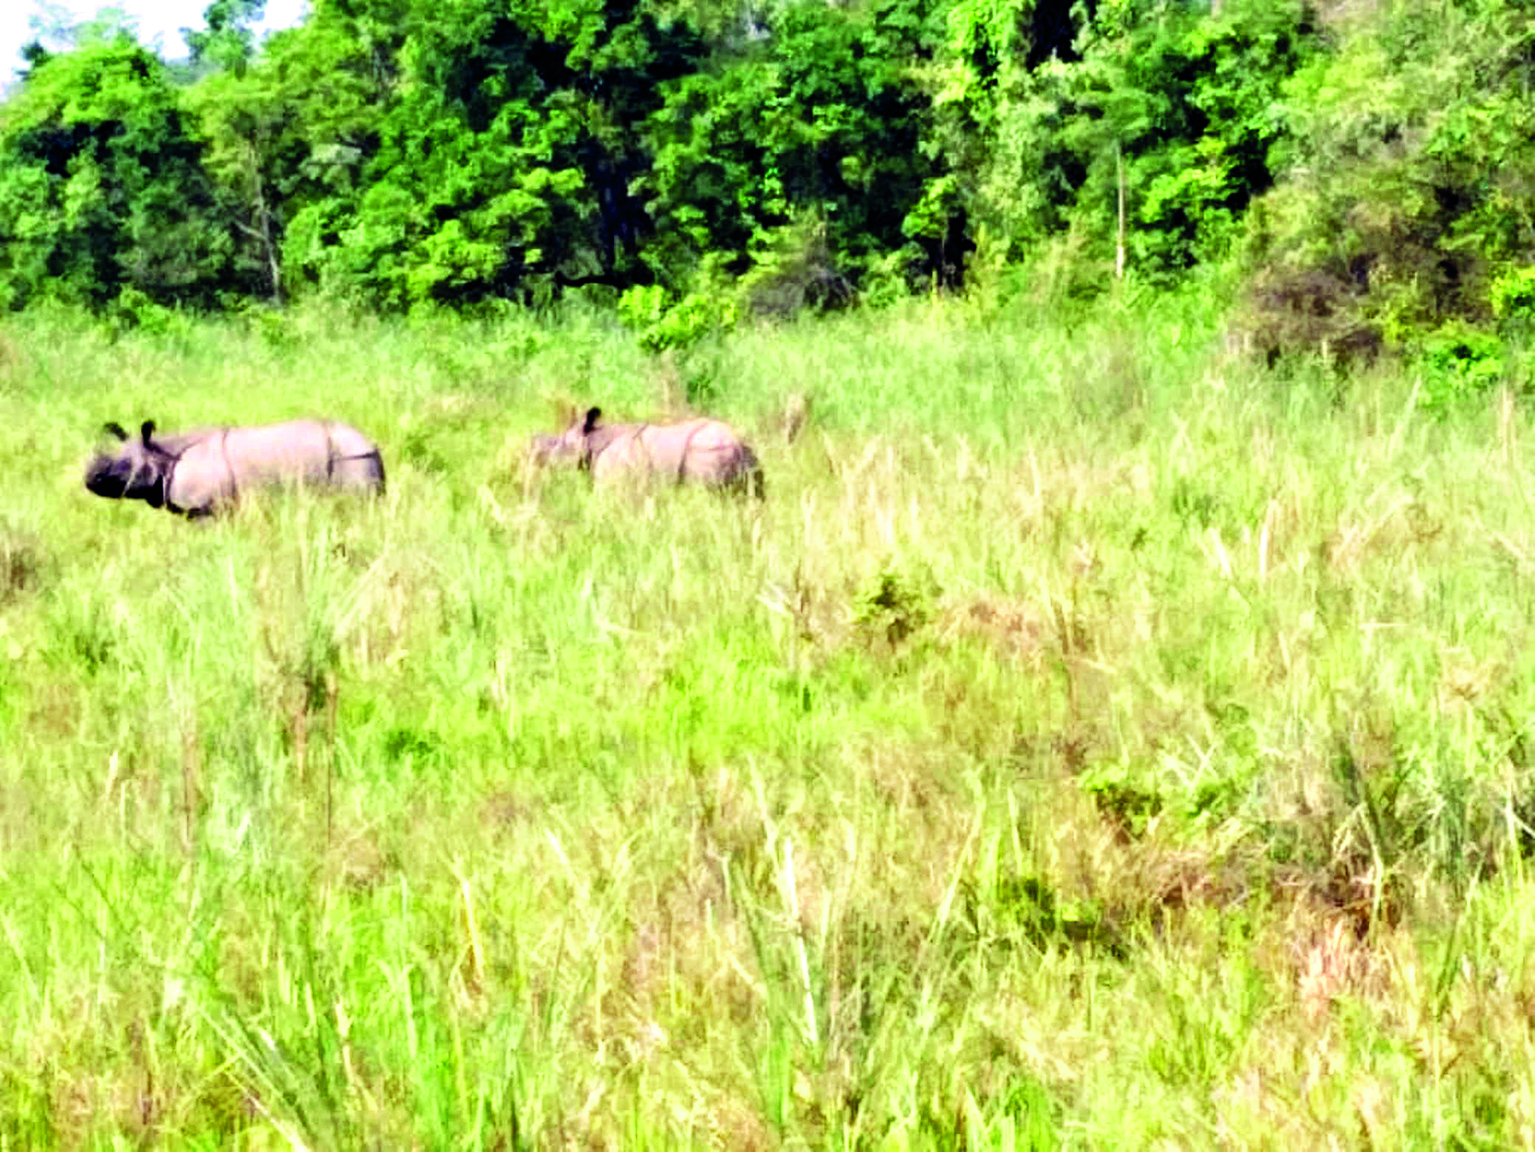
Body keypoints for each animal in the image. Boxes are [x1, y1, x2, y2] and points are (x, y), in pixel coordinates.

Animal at [85, 418, 386, 517]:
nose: (89, 478)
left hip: (352, 459)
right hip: (356, 456)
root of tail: (369, 442)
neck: (162, 455)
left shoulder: (207, 508)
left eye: (123, 466)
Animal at [531, 407, 764, 497]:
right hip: (752, 459)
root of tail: (738, 443)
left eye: (559, 445)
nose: (535, 453)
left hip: (707, 453)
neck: (593, 439)